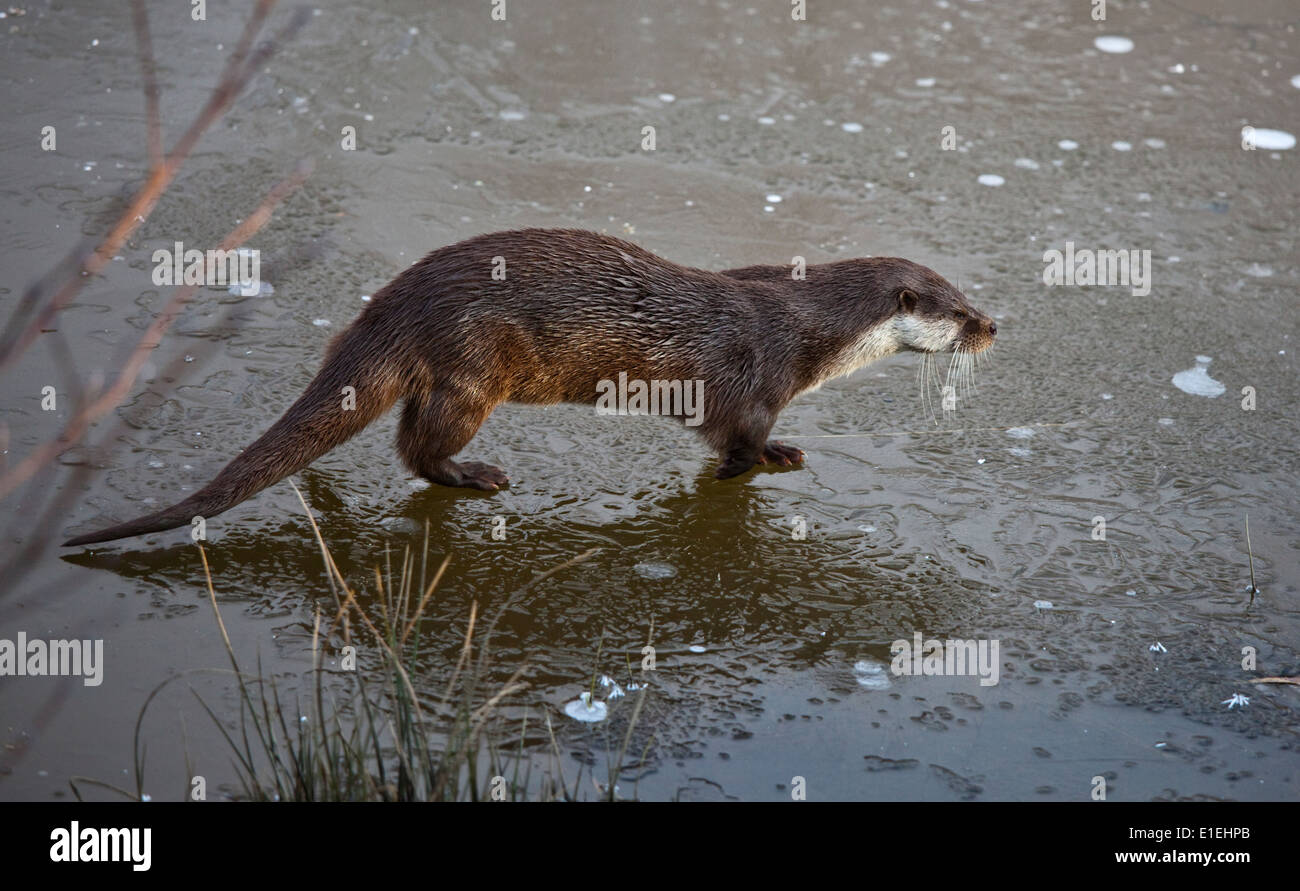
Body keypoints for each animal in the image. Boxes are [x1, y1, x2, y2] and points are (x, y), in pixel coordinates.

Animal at [63, 226, 993, 546]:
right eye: (956, 309)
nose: (993, 326)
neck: (807, 329)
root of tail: (392, 302)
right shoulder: (755, 380)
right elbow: (738, 441)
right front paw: (769, 462)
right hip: (476, 366)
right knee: (418, 445)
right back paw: (477, 476)